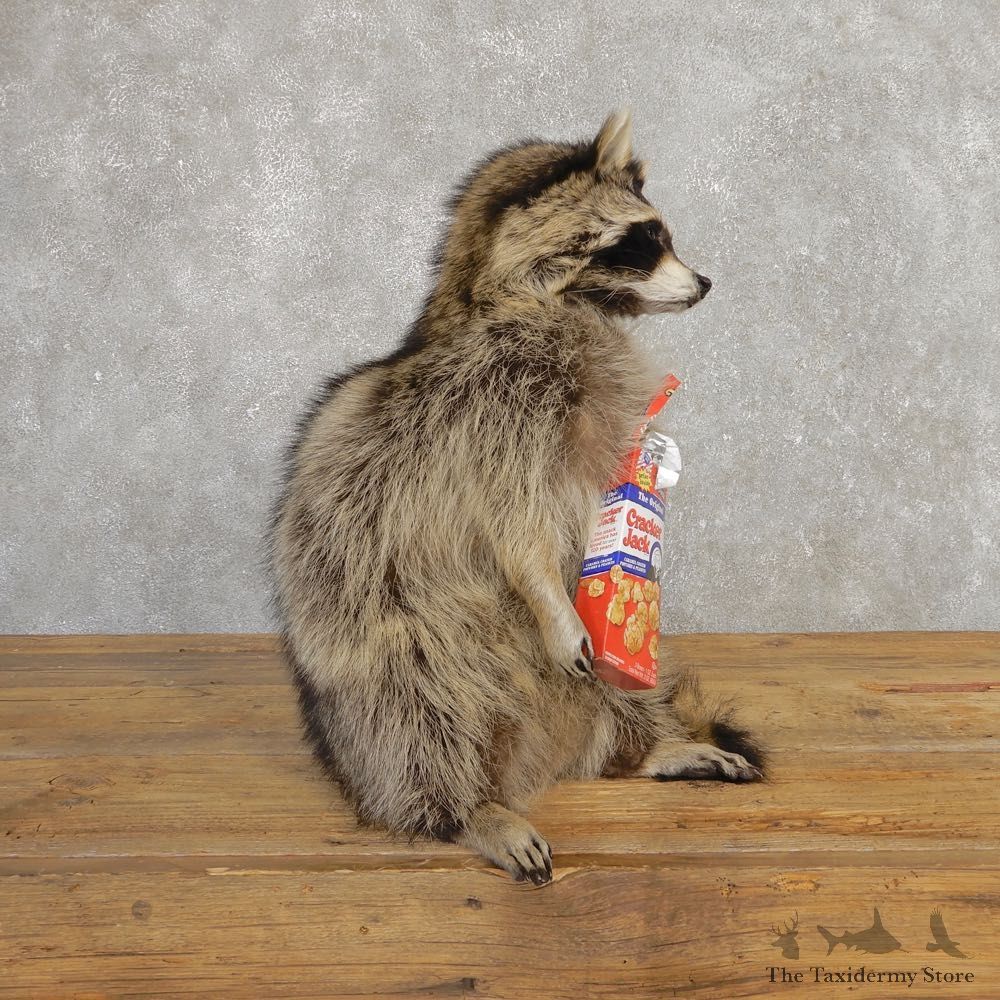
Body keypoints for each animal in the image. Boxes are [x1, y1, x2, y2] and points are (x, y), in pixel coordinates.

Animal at [268, 112, 765, 886]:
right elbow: (514, 528)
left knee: (617, 692)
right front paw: (545, 594)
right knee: (417, 722)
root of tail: (537, 762)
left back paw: (642, 747)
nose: (707, 282)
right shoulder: (499, 405)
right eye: (644, 239)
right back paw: (468, 809)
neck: (530, 300)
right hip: (396, 657)